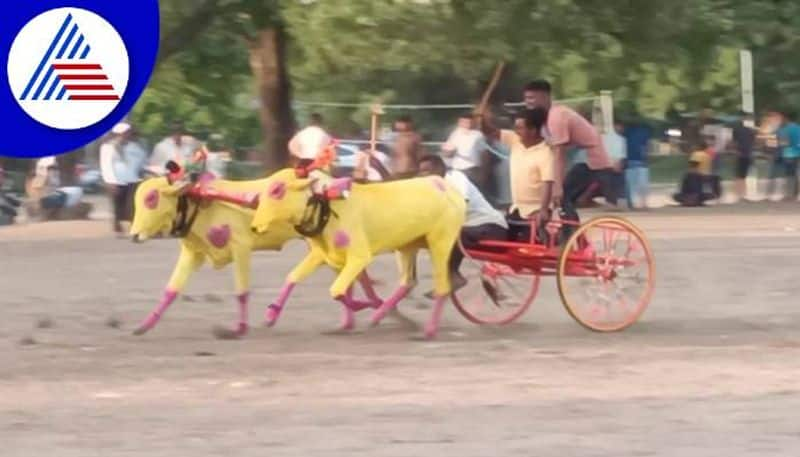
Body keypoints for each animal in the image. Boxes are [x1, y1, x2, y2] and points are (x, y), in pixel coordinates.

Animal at [130, 169, 382, 336]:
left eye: (151, 198)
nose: (133, 235)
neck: (202, 203)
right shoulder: (193, 253)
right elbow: (171, 291)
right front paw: (144, 325)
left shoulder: (241, 247)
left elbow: (242, 292)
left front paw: (239, 328)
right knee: (351, 275)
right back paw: (354, 318)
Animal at [248, 168, 462, 338]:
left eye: (277, 190)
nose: (255, 227)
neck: (326, 203)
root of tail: (445, 186)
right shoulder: (324, 256)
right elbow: (294, 277)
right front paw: (270, 316)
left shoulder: (359, 257)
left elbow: (337, 290)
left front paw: (366, 305)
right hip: (407, 247)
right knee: (408, 282)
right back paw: (380, 316)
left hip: (440, 243)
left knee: (443, 287)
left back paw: (427, 331)